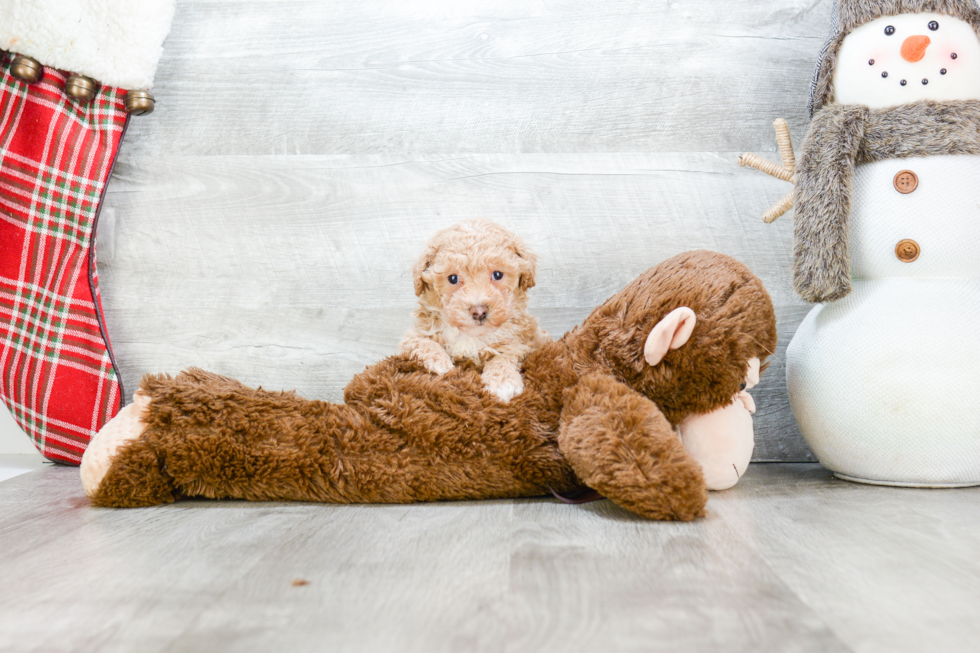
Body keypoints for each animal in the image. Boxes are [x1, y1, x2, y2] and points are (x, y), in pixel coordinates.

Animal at [398, 222, 552, 400]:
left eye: (497, 274)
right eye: (453, 278)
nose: (479, 311)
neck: (471, 336)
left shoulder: (522, 342)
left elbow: (505, 356)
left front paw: (503, 381)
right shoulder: (414, 335)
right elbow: (421, 342)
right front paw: (440, 362)